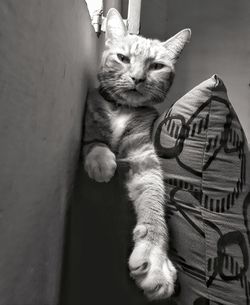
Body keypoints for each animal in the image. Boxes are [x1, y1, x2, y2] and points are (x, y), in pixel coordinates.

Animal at [83, 8, 190, 298]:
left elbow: (153, 203)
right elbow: (94, 140)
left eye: (156, 66)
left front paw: (155, 258)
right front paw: (101, 161)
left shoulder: (143, 157)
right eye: (123, 58)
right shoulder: (91, 116)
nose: (138, 78)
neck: (123, 109)